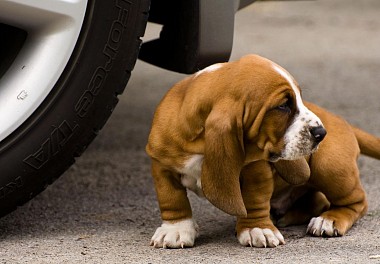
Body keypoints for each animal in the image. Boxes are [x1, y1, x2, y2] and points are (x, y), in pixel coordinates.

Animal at [146, 53, 330, 248]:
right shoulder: (161, 165)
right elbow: (172, 198)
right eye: (283, 106)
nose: (321, 133)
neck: (200, 144)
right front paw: (176, 229)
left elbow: (254, 199)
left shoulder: (256, 169)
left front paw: (257, 228)